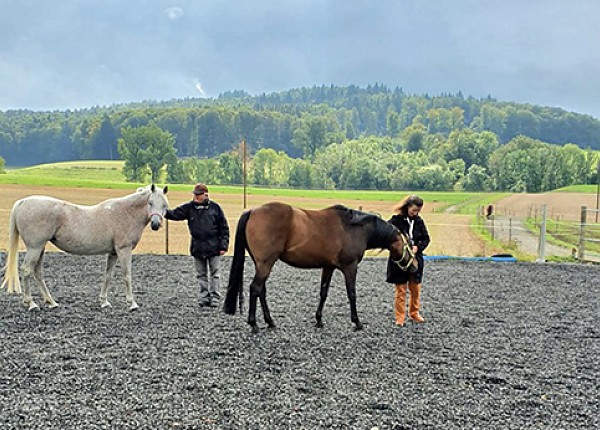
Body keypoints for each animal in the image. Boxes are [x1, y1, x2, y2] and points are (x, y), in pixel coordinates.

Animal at [1, 183, 169, 310]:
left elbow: (108, 276)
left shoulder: (113, 253)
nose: (155, 224)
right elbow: (126, 275)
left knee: (37, 272)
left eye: (164, 205)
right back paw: (31, 303)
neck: (125, 213)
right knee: (26, 270)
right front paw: (132, 303)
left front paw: (104, 301)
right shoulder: (124, 250)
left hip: (40, 248)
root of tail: (22, 202)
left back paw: (51, 302)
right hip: (34, 248)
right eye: (150, 203)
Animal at [224, 202, 418, 332]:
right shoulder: (350, 267)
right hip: (265, 263)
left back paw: (269, 322)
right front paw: (357, 322)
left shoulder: (328, 267)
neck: (355, 228)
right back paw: (254, 324)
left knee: (261, 291)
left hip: (262, 264)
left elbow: (323, 293)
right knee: (255, 288)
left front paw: (318, 320)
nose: (415, 267)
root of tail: (252, 211)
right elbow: (352, 294)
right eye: (409, 244)